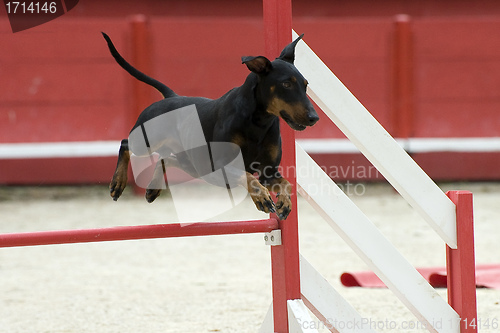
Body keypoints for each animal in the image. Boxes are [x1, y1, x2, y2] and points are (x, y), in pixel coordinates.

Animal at [103, 31, 318, 220]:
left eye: (306, 84)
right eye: (286, 84)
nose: (314, 117)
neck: (258, 121)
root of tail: (172, 96)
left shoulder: (269, 172)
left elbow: (285, 183)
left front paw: (284, 202)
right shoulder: (220, 165)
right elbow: (249, 176)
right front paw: (262, 198)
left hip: (195, 165)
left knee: (167, 158)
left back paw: (153, 188)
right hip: (148, 141)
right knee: (125, 144)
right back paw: (117, 183)